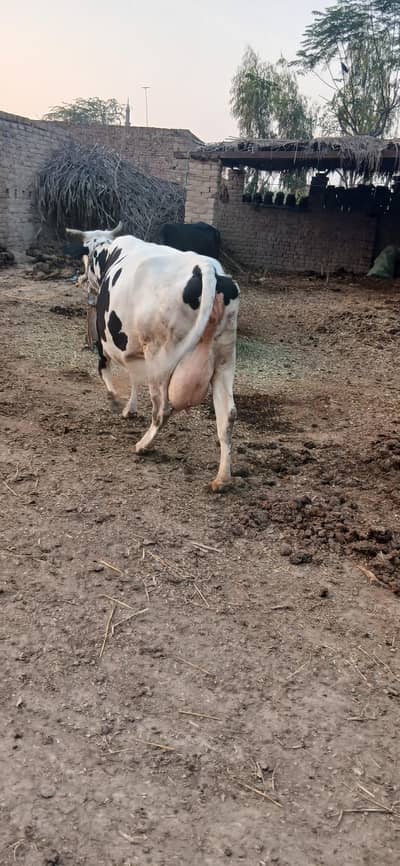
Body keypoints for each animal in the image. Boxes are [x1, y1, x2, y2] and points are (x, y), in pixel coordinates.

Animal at [66, 229, 239, 491]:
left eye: (85, 256)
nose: (80, 279)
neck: (109, 254)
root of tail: (206, 267)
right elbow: (133, 377)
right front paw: (130, 408)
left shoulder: (107, 342)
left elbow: (107, 371)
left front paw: (116, 401)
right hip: (224, 359)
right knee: (226, 416)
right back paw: (222, 477)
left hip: (159, 355)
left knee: (161, 408)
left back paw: (143, 445)